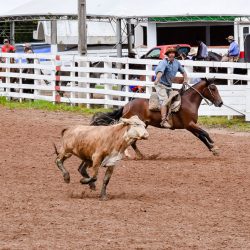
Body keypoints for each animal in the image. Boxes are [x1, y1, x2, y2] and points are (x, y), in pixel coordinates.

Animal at [91, 79, 224, 158]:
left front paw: (213, 149)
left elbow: (201, 136)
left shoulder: (190, 127)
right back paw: (136, 155)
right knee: (130, 140)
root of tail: (126, 106)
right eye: (213, 89)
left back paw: (139, 155)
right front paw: (214, 145)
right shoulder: (189, 124)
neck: (188, 102)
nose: (220, 103)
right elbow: (205, 133)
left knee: (132, 141)